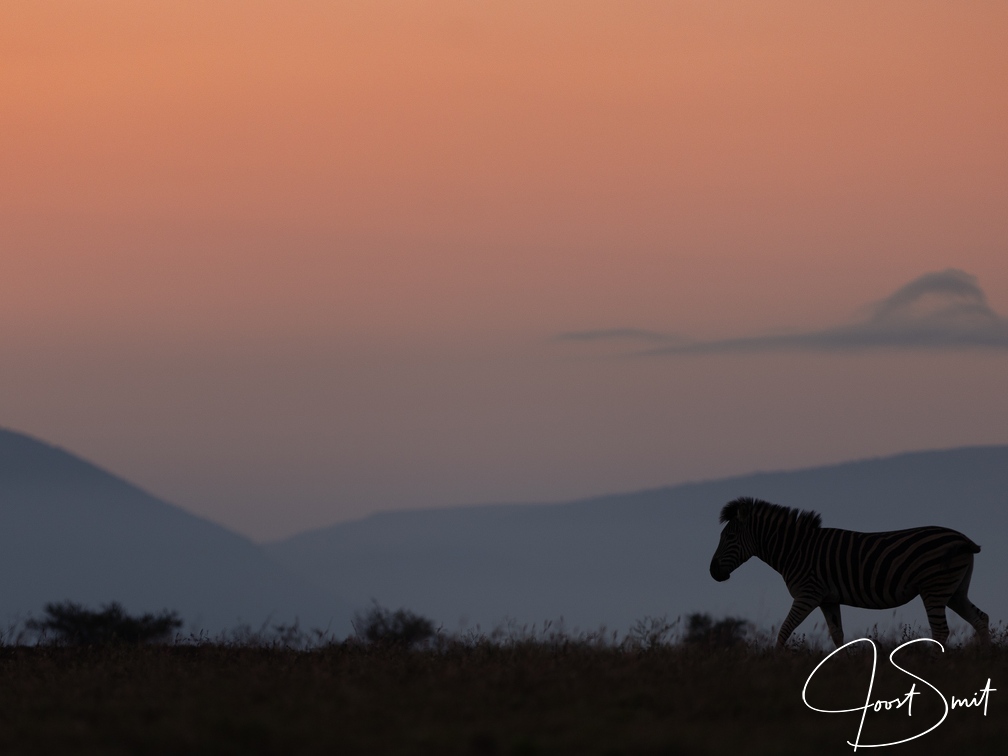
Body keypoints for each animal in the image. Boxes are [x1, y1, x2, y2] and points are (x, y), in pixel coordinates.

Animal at [709, 497, 990, 649]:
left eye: (729, 537)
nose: (712, 572)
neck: (795, 549)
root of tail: (964, 539)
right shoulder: (828, 599)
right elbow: (837, 636)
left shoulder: (807, 594)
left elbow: (784, 630)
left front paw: (776, 661)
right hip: (954, 590)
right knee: (981, 619)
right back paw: (984, 657)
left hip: (934, 588)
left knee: (941, 631)